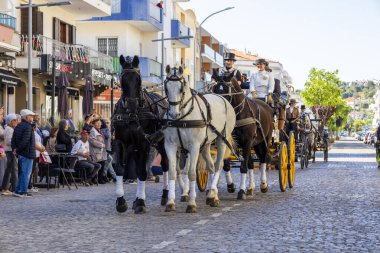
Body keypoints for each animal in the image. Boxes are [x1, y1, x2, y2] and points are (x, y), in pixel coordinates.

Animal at [113, 54, 169, 213]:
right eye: (123, 79)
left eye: (138, 79)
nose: (132, 105)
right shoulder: (120, 141)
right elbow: (120, 169)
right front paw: (121, 201)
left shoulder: (144, 142)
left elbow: (142, 172)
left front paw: (141, 203)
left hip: (160, 144)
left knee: (165, 165)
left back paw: (165, 196)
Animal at [163, 66, 236, 212]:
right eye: (166, 87)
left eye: (182, 88)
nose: (173, 113)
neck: (182, 118)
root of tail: (223, 99)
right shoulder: (170, 145)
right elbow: (173, 172)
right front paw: (170, 202)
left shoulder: (194, 146)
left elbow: (191, 173)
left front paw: (191, 203)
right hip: (206, 144)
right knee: (211, 166)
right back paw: (212, 195)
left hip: (221, 139)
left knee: (218, 165)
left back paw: (214, 194)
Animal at [214, 72, 274, 200]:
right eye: (215, 89)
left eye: (226, 90)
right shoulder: (228, 142)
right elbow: (226, 165)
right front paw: (231, 186)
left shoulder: (246, 142)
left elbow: (243, 167)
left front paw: (241, 191)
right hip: (253, 144)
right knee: (251, 163)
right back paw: (250, 188)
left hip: (263, 141)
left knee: (263, 160)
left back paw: (263, 184)